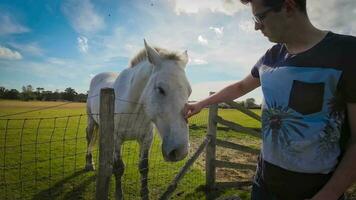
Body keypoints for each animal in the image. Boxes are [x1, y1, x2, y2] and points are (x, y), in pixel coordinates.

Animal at [85, 39, 192, 199]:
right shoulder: (116, 139)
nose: (180, 151)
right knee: (89, 138)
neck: (134, 109)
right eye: (160, 89)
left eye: (189, 91)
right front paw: (119, 194)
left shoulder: (146, 139)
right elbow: (119, 168)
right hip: (91, 122)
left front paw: (145, 193)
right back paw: (89, 163)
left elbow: (144, 168)